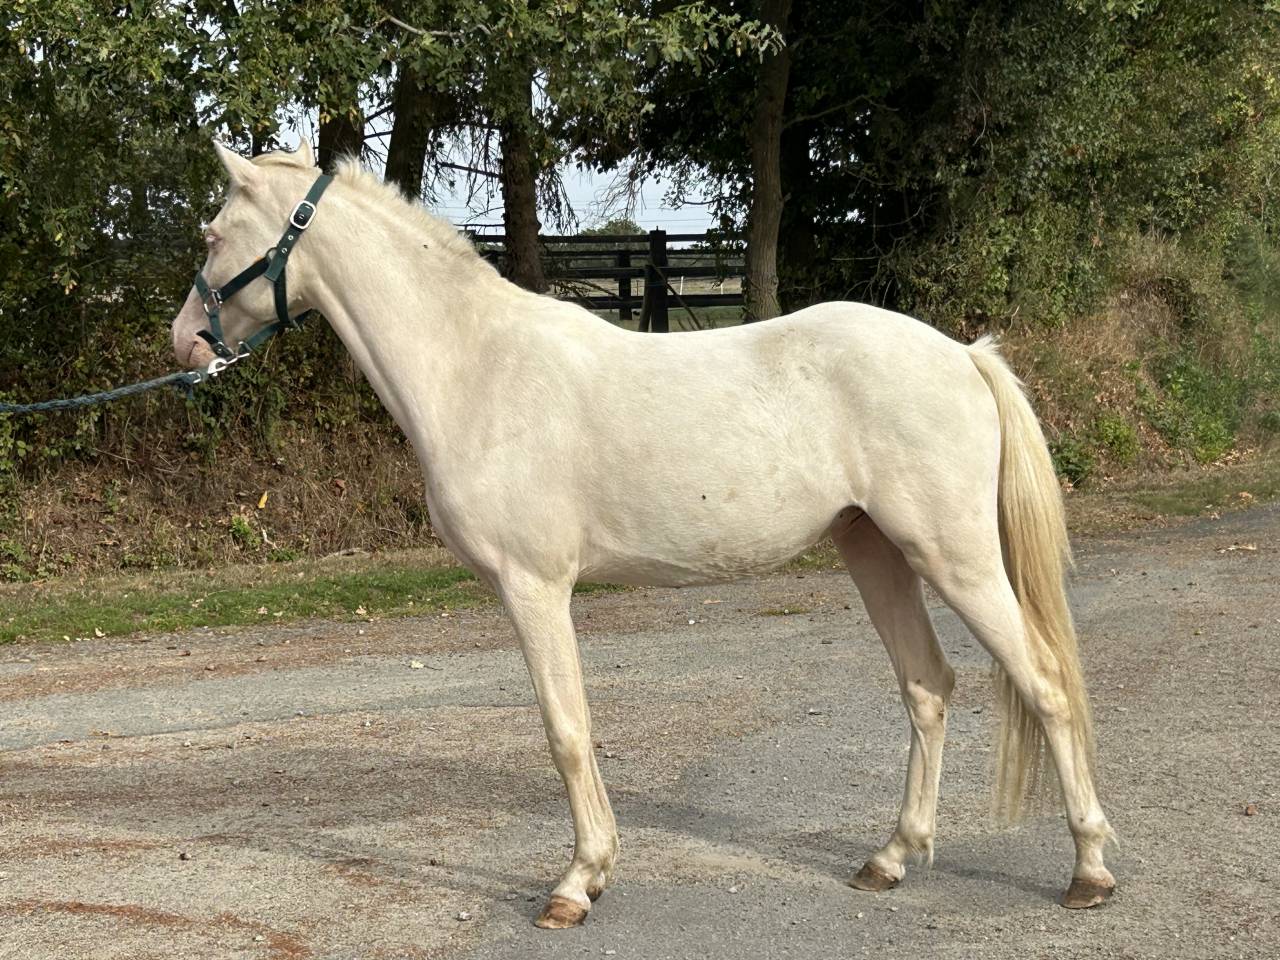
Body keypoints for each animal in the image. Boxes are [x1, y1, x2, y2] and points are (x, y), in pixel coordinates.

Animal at [170, 142, 1115, 928]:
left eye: (213, 234)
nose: (184, 342)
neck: (476, 367)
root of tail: (964, 355)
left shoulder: (534, 587)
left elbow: (565, 730)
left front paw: (576, 883)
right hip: (874, 550)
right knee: (927, 687)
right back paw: (890, 858)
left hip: (954, 558)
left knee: (1044, 685)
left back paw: (1089, 871)